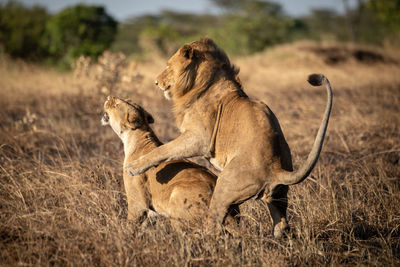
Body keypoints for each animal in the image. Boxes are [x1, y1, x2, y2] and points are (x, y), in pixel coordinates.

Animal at [101, 96, 231, 226]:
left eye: (116, 104)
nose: (108, 97)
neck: (132, 140)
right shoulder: (151, 212)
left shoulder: (137, 204)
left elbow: (131, 224)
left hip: (176, 198)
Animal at [126, 38, 332, 239]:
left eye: (168, 66)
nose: (156, 82)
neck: (202, 83)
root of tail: (275, 168)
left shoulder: (199, 137)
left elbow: (165, 149)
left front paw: (135, 166)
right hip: (279, 195)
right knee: (282, 225)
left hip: (224, 186)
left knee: (215, 223)